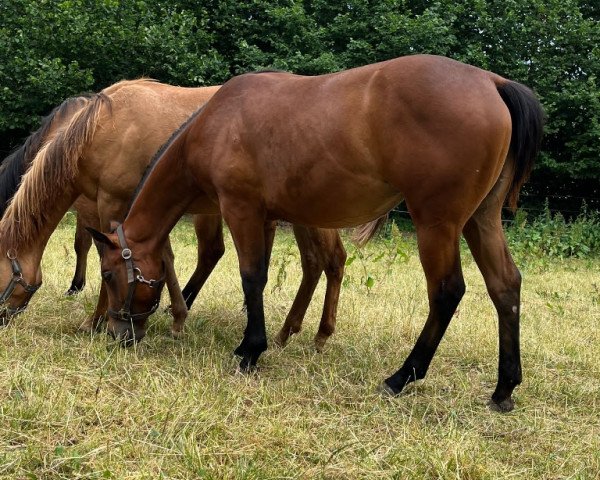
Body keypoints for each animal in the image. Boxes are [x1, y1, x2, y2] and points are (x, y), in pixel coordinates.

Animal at [0, 79, 346, 348]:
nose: (1, 320)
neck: (104, 128)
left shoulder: (110, 204)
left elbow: (105, 258)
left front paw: (95, 320)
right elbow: (163, 257)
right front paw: (176, 317)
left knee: (328, 261)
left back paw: (313, 333)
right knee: (315, 263)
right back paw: (292, 331)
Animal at [91, 54, 548, 410]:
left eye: (109, 274)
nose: (117, 333)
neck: (218, 121)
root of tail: (492, 82)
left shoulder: (241, 210)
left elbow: (251, 277)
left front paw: (250, 351)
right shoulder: (267, 218)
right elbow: (264, 279)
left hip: (437, 225)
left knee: (447, 292)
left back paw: (402, 376)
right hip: (479, 222)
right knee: (505, 287)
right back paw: (503, 388)